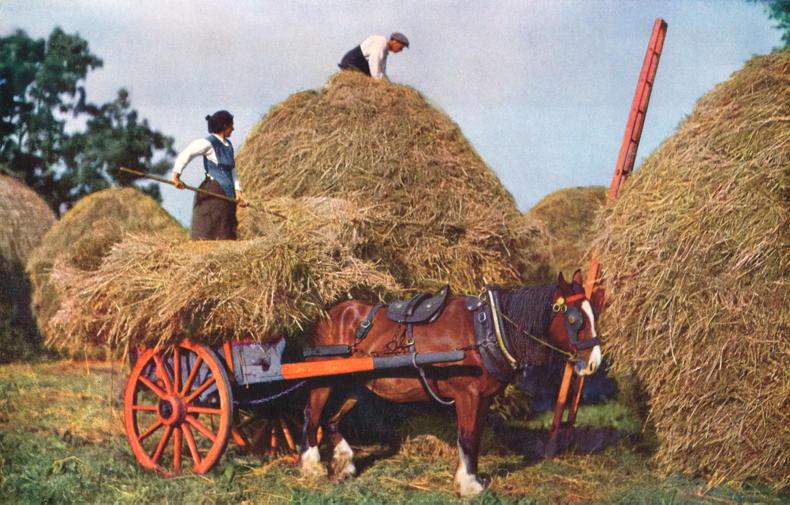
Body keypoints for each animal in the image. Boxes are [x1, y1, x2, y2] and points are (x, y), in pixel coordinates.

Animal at [299, 270, 603, 497]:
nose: (594, 362)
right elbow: (466, 437)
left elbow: (474, 438)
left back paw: (344, 464)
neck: (486, 329)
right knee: (312, 416)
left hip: (356, 386)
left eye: (594, 314)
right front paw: (469, 486)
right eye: (574, 318)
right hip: (323, 381)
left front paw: (469, 479)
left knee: (331, 420)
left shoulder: (483, 398)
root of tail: (331, 313)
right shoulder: (467, 394)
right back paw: (311, 467)